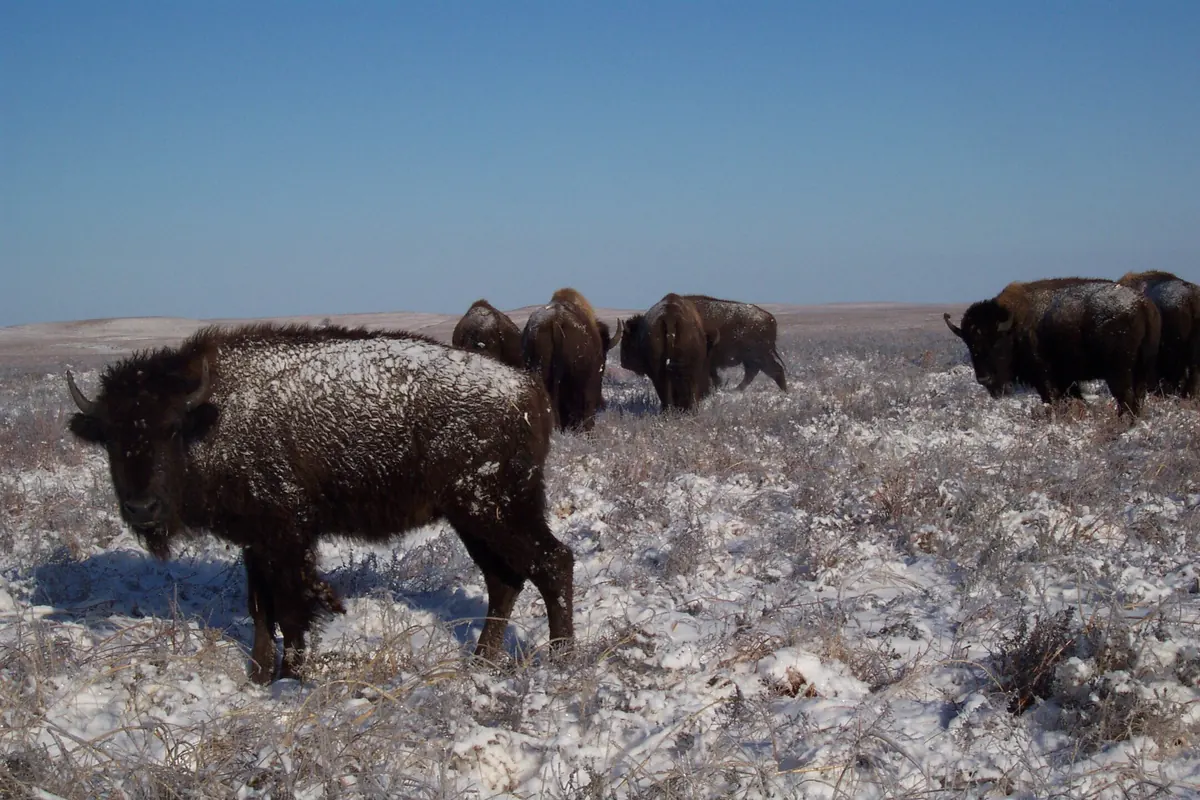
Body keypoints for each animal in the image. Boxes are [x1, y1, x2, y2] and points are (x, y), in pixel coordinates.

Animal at [66, 323, 574, 684]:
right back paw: (481, 662)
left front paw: (290, 678)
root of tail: (528, 390)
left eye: (171, 429)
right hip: (473, 518)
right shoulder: (257, 542)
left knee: (552, 562)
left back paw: (562, 661)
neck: (212, 413)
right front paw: (257, 678)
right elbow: (260, 609)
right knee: (504, 580)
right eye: (110, 436)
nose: (141, 508)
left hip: (495, 510)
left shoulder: (287, 538)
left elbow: (292, 611)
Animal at [944, 278, 1160, 417]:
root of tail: (1142, 303)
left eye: (996, 342)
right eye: (969, 344)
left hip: (1119, 373)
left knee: (1126, 398)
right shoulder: (1067, 379)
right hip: (1141, 370)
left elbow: (1052, 398)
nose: (984, 379)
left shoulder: (1045, 377)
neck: (1014, 326)